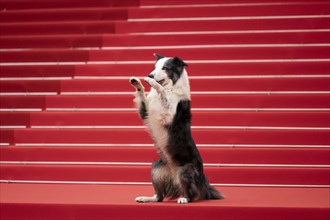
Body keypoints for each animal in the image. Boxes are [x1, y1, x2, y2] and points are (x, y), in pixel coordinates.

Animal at [129, 53, 224, 205]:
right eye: (155, 66)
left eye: (165, 68)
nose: (150, 75)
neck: (171, 87)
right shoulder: (146, 112)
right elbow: (142, 95)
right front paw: (137, 83)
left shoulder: (168, 115)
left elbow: (162, 92)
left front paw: (152, 83)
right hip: (156, 167)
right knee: (159, 197)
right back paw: (146, 198)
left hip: (185, 170)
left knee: (191, 194)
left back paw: (184, 198)